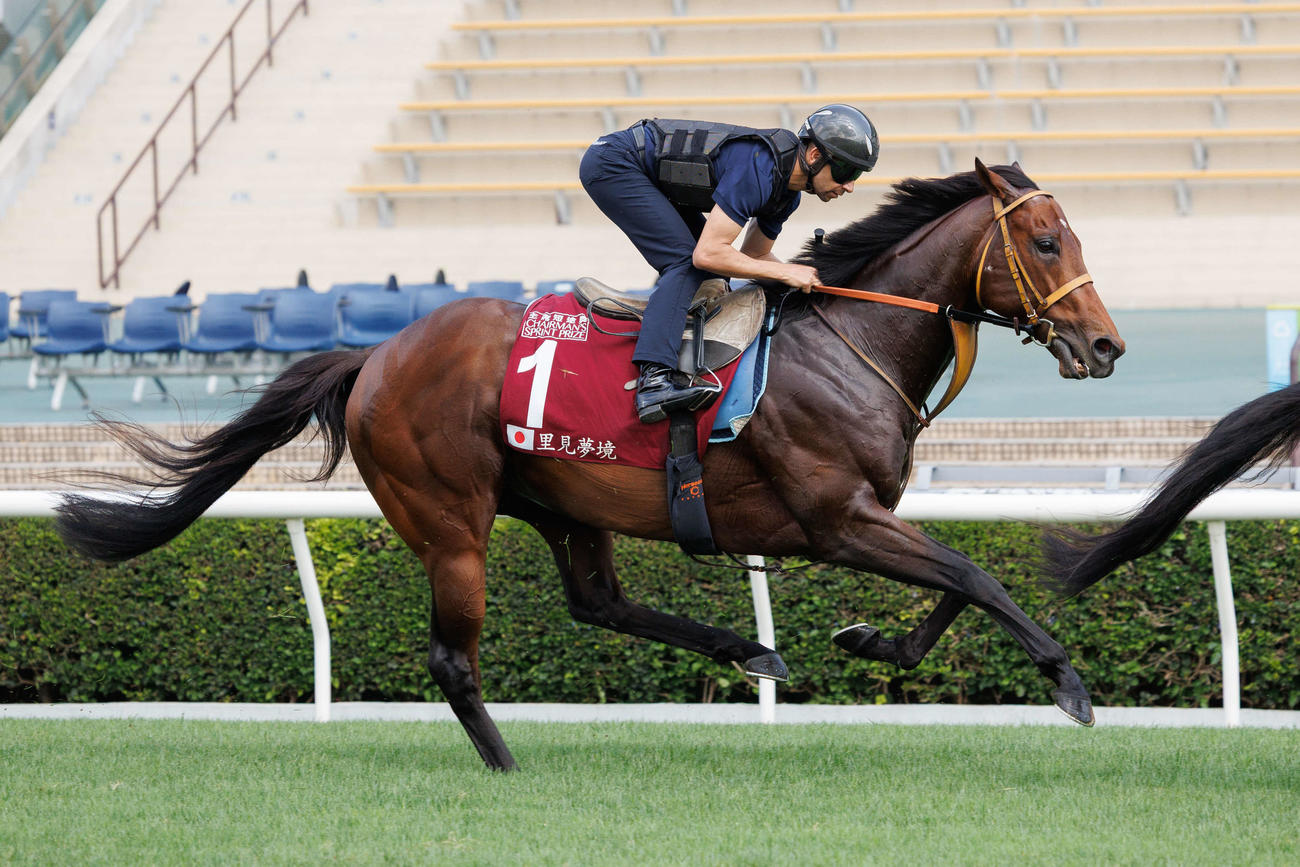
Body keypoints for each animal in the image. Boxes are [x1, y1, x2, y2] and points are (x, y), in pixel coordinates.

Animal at [55, 160, 1125, 770]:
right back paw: (505, 764)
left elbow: (959, 580)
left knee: (598, 601)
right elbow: (974, 573)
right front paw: (1068, 681)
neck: (848, 340)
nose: (1106, 345)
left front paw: (873, 641)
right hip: (450, 517)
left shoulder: (865, 517)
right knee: (454, 656)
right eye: (1043, 239)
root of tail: (376, 353)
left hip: (564, 500)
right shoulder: (837, 518)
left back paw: (748, 650)